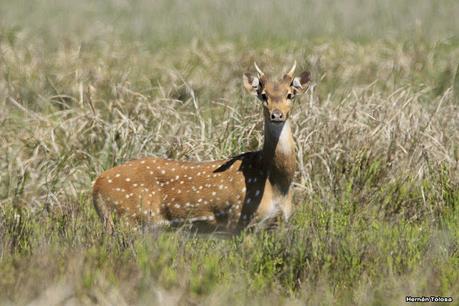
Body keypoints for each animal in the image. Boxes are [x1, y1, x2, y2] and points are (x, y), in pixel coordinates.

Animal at [91, 63, 310, 233]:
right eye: (263, 95)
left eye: (290, 95)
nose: (276, 114)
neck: (276, 181)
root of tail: (96, 186)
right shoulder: (239, 219)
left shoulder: (279, 222)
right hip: (127, 219)